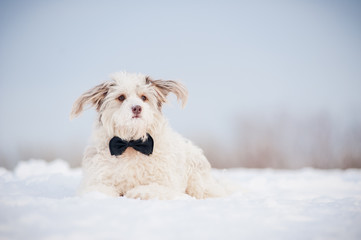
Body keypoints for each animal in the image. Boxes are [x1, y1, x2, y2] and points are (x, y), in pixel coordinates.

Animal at [70, 72, 228, 200]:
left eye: (144, 97)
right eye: (121, 97)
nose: (137, 108)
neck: (131, 143)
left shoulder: (167, 183)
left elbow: (154, 188)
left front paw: (139, 192)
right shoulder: (95, 180)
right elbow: (99, 189)